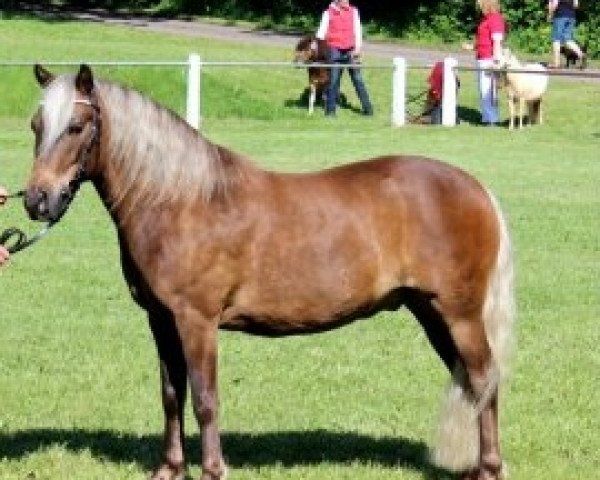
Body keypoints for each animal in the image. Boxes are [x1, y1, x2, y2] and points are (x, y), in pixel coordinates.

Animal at [24, 63, 516, 480]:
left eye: (76, 126)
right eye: (36, 126)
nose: (37, 200)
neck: (181, 200)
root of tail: (476, 189)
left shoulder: (197, 321)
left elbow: (205, 399)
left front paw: (213, 470)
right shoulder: (161, 320)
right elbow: (171, 395)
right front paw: (170, 469)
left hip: (459, 315)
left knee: (484, 379)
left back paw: (489, 469)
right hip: (431, 314)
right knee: (473, 384)